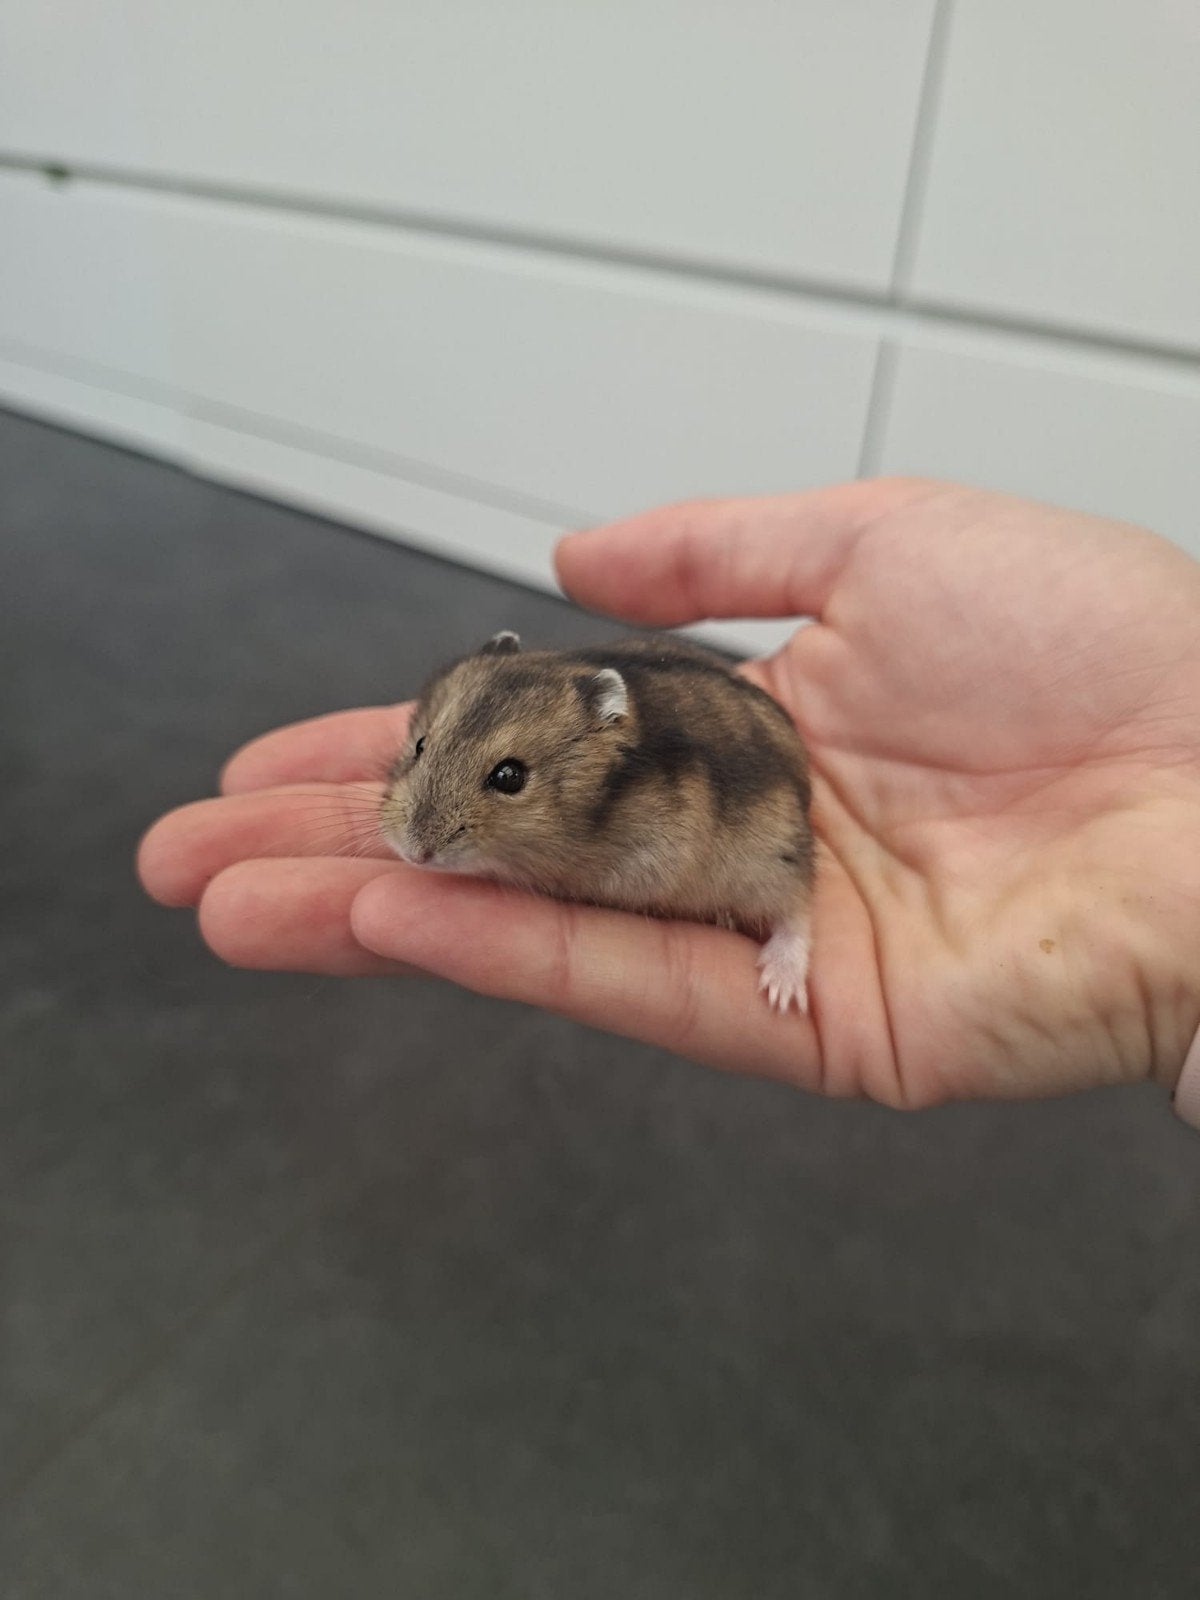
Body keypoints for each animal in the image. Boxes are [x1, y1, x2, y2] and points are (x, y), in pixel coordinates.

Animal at [379, 632, 815, 1013]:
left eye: (509, 776)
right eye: (420, 745)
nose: (414, 853)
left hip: (774, 857)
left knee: (799, 909)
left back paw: (781, 993)